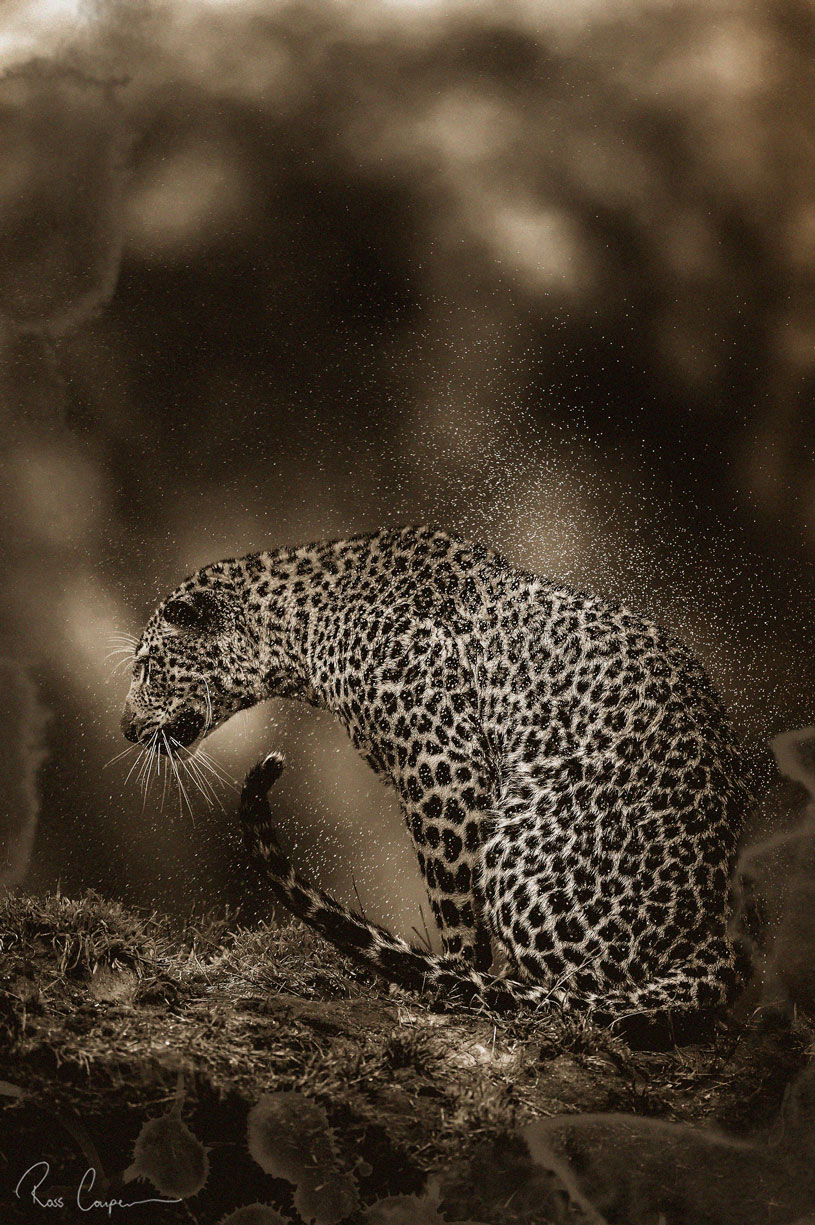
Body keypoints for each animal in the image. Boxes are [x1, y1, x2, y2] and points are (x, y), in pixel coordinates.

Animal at [122, 525, 753, 1038]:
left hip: (522, 857)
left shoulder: (442, 767)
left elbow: (453, 897)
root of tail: (710, 936)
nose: (126, 728)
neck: (300, 628)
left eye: (148, 668)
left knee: (584, 995)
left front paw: (453, 979)